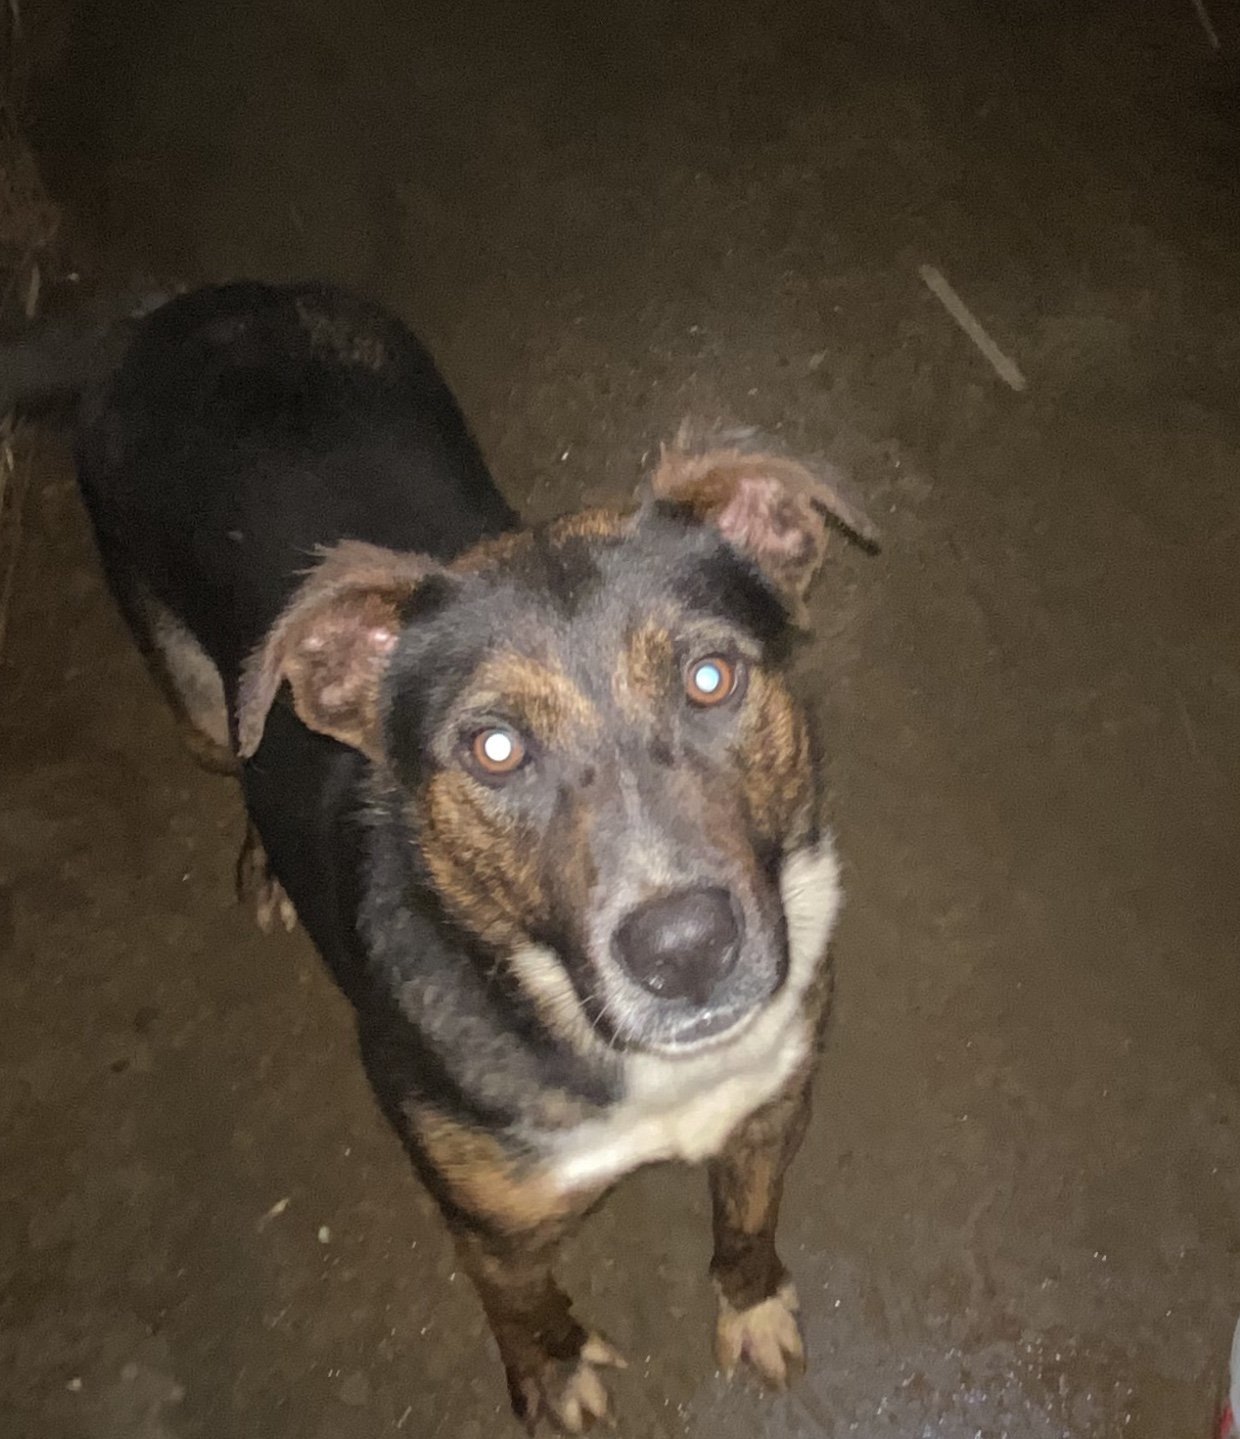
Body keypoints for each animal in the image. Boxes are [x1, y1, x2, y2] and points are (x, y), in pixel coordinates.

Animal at [9, 280, 886, 1427]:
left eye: (710, 678)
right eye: (494, 747)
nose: (687, 949)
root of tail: (161, 316)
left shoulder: (770, 1109)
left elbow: (745, 1224)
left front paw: (752, 1301)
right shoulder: (488, 1224)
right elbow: (523, 1308)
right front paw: (551, 1374)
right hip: (198, 700)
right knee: (237, 741)